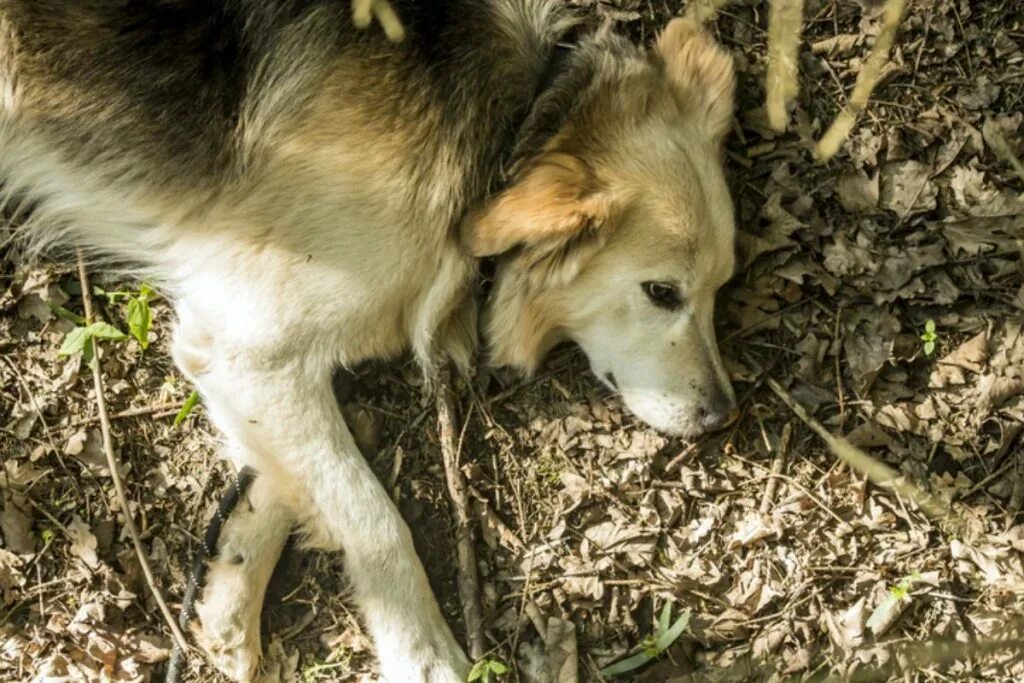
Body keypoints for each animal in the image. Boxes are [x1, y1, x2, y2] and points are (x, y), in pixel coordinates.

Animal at [0, 1, 737, 679]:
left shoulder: (248, 356)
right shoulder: (252, 344)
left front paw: (234, 588)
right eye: (661, 292)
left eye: (720, 288)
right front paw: (425, 657)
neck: (519, 123)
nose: (722, 418)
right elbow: (374, 519)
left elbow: (280, 474)